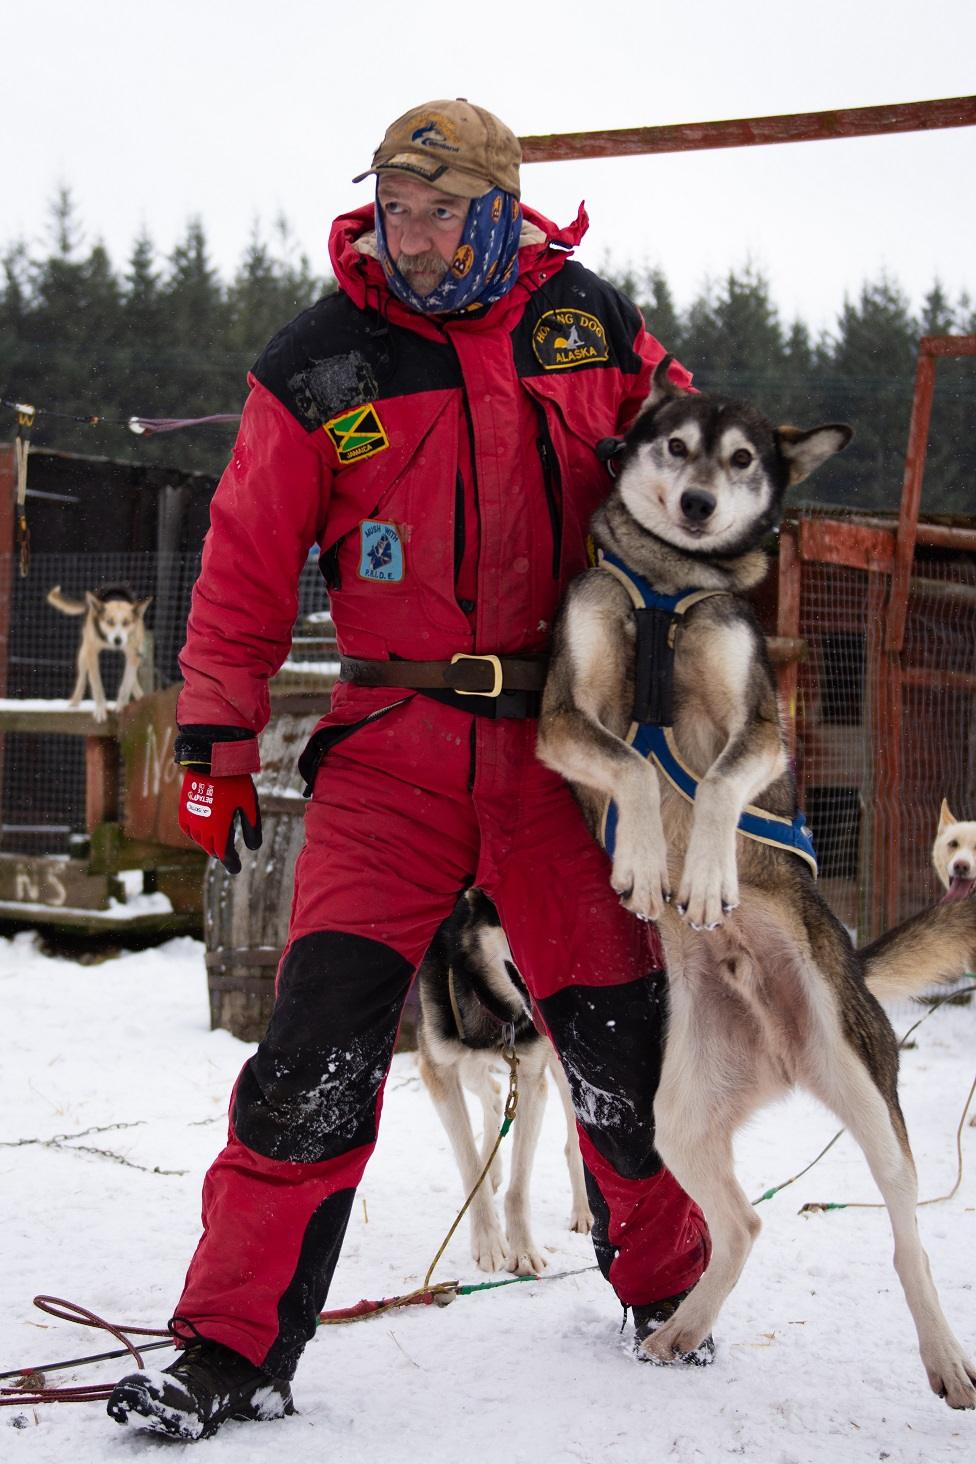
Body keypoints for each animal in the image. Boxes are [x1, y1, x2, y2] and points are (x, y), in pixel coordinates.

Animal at [47, 582, 152, 720]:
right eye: (109, 621)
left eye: (126, 622)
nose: (118, 640)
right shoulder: (92, 653)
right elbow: (96, 685)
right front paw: (101, 710)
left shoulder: (132, 653)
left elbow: (126, 683)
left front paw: (121, 706)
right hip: (83, 654)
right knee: (81, 679)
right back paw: (74, 703)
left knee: (132, 678)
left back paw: (140, 696)